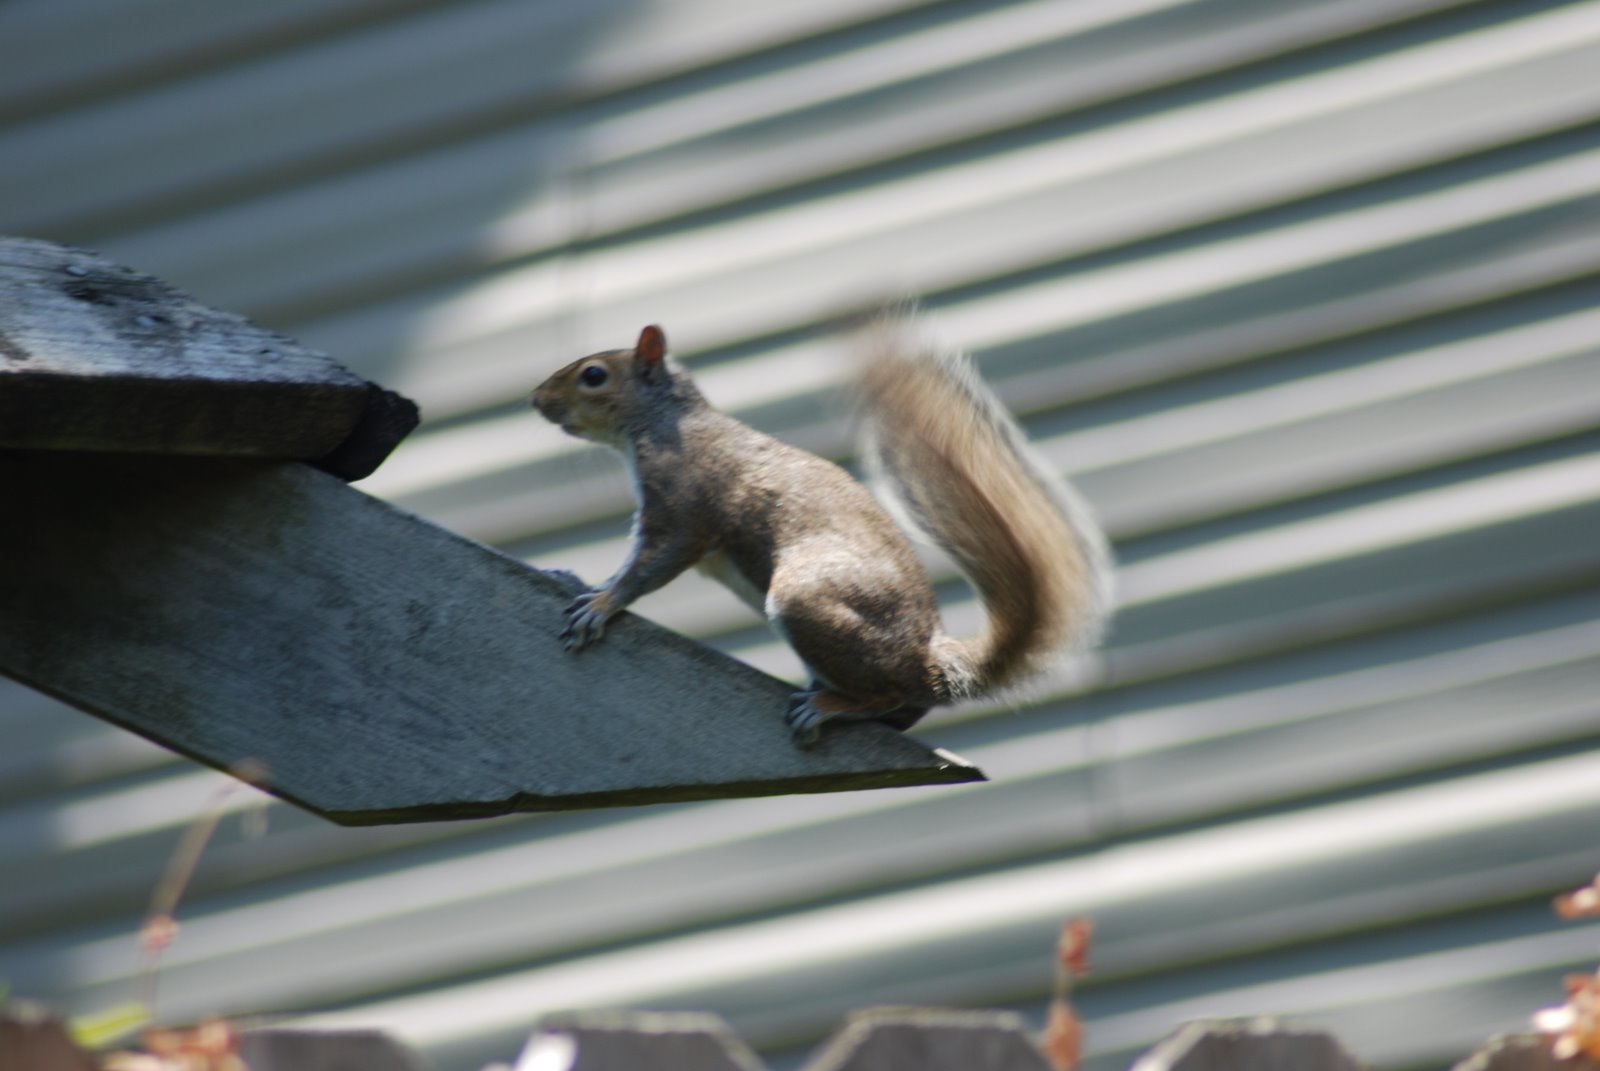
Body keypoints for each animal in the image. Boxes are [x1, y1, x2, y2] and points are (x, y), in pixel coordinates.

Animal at [530, 313, 1112, 745]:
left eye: (593, 375)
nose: (536, 399)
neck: (664, 422)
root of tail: (927, 663)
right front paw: (582, 582)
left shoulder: (684, 504)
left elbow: (651, 565)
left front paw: (601, 606)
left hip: (806, 601)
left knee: (886, 696)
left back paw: (829, 707)